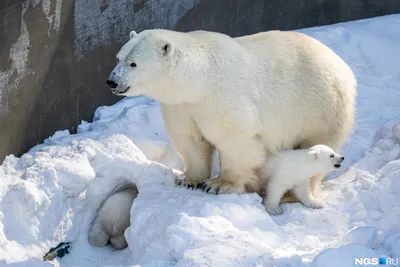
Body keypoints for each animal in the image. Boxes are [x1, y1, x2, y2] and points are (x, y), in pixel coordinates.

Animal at [105, 29, 356, 201]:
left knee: (317, 149)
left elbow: (235, 141)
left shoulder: (223, 98)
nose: (112, 81)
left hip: (319, 107)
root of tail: (342, 64)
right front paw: (189, 180)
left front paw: (218, 185)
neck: (199, 80)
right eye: (118, 58)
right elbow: (190, 139)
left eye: (133, 63)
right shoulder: (181, 106)